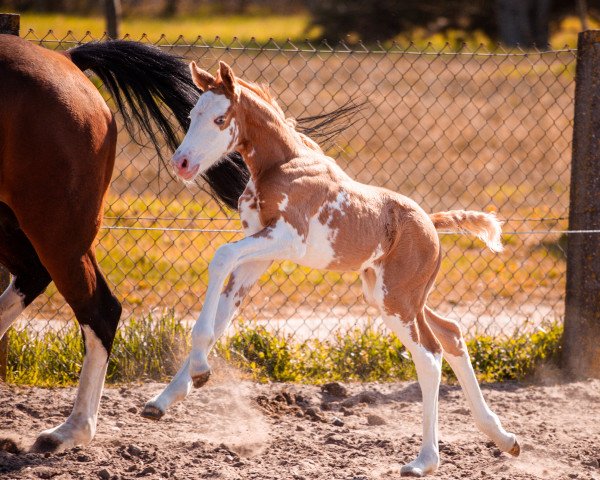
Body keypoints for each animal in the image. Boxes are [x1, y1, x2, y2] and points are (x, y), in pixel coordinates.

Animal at [144, 62, 520, 476]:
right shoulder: (259, 254)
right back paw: (504, 438)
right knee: (451, 335)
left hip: (396, 299)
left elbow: (221, 257)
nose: (181, 163)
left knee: (429, 355)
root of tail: (431, 224)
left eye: (220, 119)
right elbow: (222, 315)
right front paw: (165, 398)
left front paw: (199, 370)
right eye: (192, 115)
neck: (282, 164)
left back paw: (424, 461)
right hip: (393, 294)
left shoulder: (286, 239)